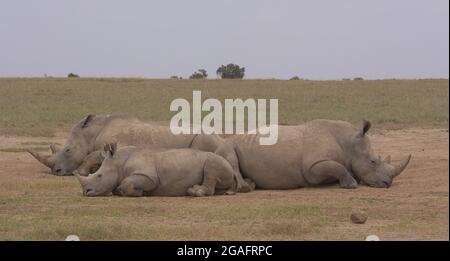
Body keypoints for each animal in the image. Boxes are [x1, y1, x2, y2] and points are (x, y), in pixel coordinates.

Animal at [74, 143, 236, 196]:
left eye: (99, 176)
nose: (85, 192)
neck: (118, 162)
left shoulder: (149, 177)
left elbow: (128, 183)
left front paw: (139, 193)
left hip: (217, 161)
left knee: (211, 169)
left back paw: (193, 191)